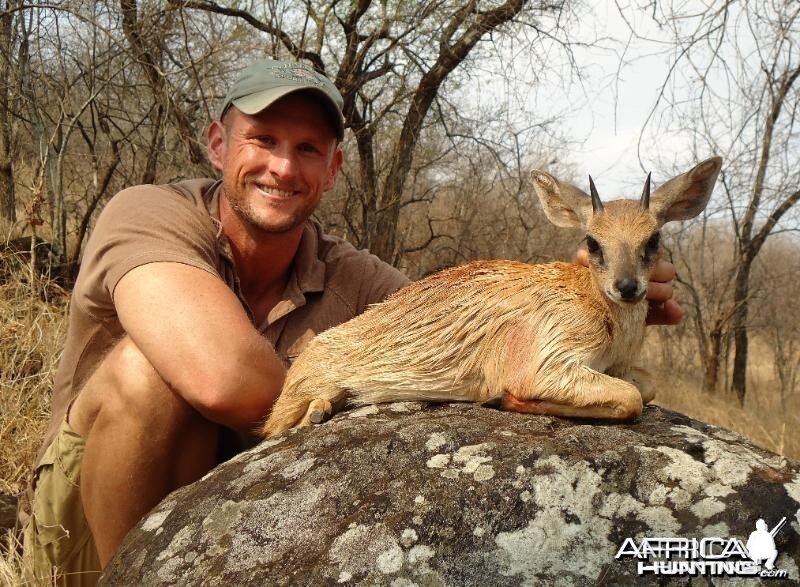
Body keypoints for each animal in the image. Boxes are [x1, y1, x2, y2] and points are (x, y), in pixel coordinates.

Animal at [260, 156, 720, 436]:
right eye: (592, 242)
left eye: (654, 239)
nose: (627, 287)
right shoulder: (547, 364)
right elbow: (631, 399)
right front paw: (502, 398)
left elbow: (647, 386)